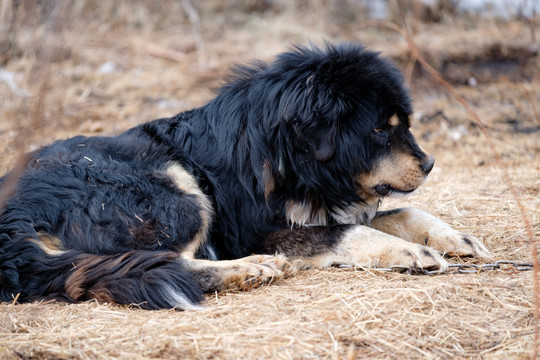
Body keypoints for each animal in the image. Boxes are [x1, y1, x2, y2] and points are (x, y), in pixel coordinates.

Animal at [0, 43, 490, 310]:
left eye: (402, 123)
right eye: (379, 129)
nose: (429, 163)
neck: (284, 155)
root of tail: (13, 223)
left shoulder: (325, 206)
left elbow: (403, 211)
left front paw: (453, 238)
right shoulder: (259, 231)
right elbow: (349, 232)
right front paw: (412, 253)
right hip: (175, 189)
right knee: (165, 261)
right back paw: (251, 269)